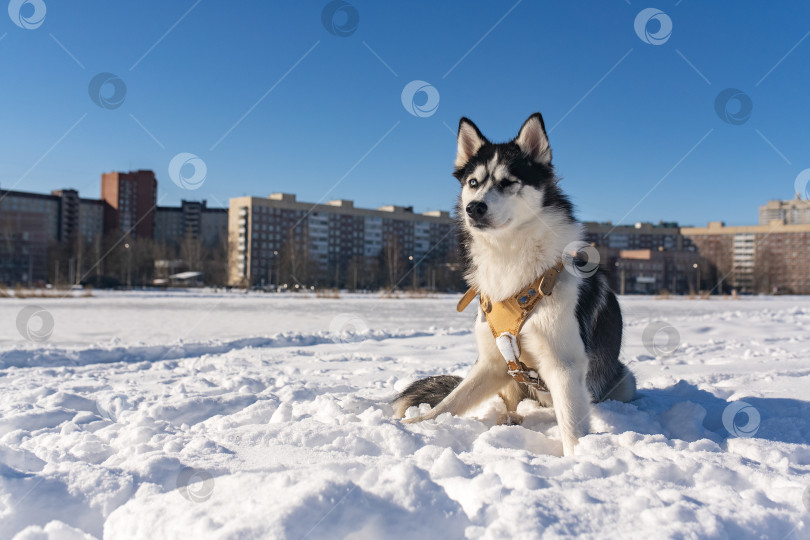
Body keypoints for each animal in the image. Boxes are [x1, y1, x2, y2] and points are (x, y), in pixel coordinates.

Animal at [390, 113, 632, 456]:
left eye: (507, 183)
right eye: (473, 183)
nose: (474, 207)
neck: (509, 255)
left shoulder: (563, 365)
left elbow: (572, 428)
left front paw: (578, 459)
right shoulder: (492, 362)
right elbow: (450, 402)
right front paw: (416, 424)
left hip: (623, 382)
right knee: (506, 404)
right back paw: (507, 421)